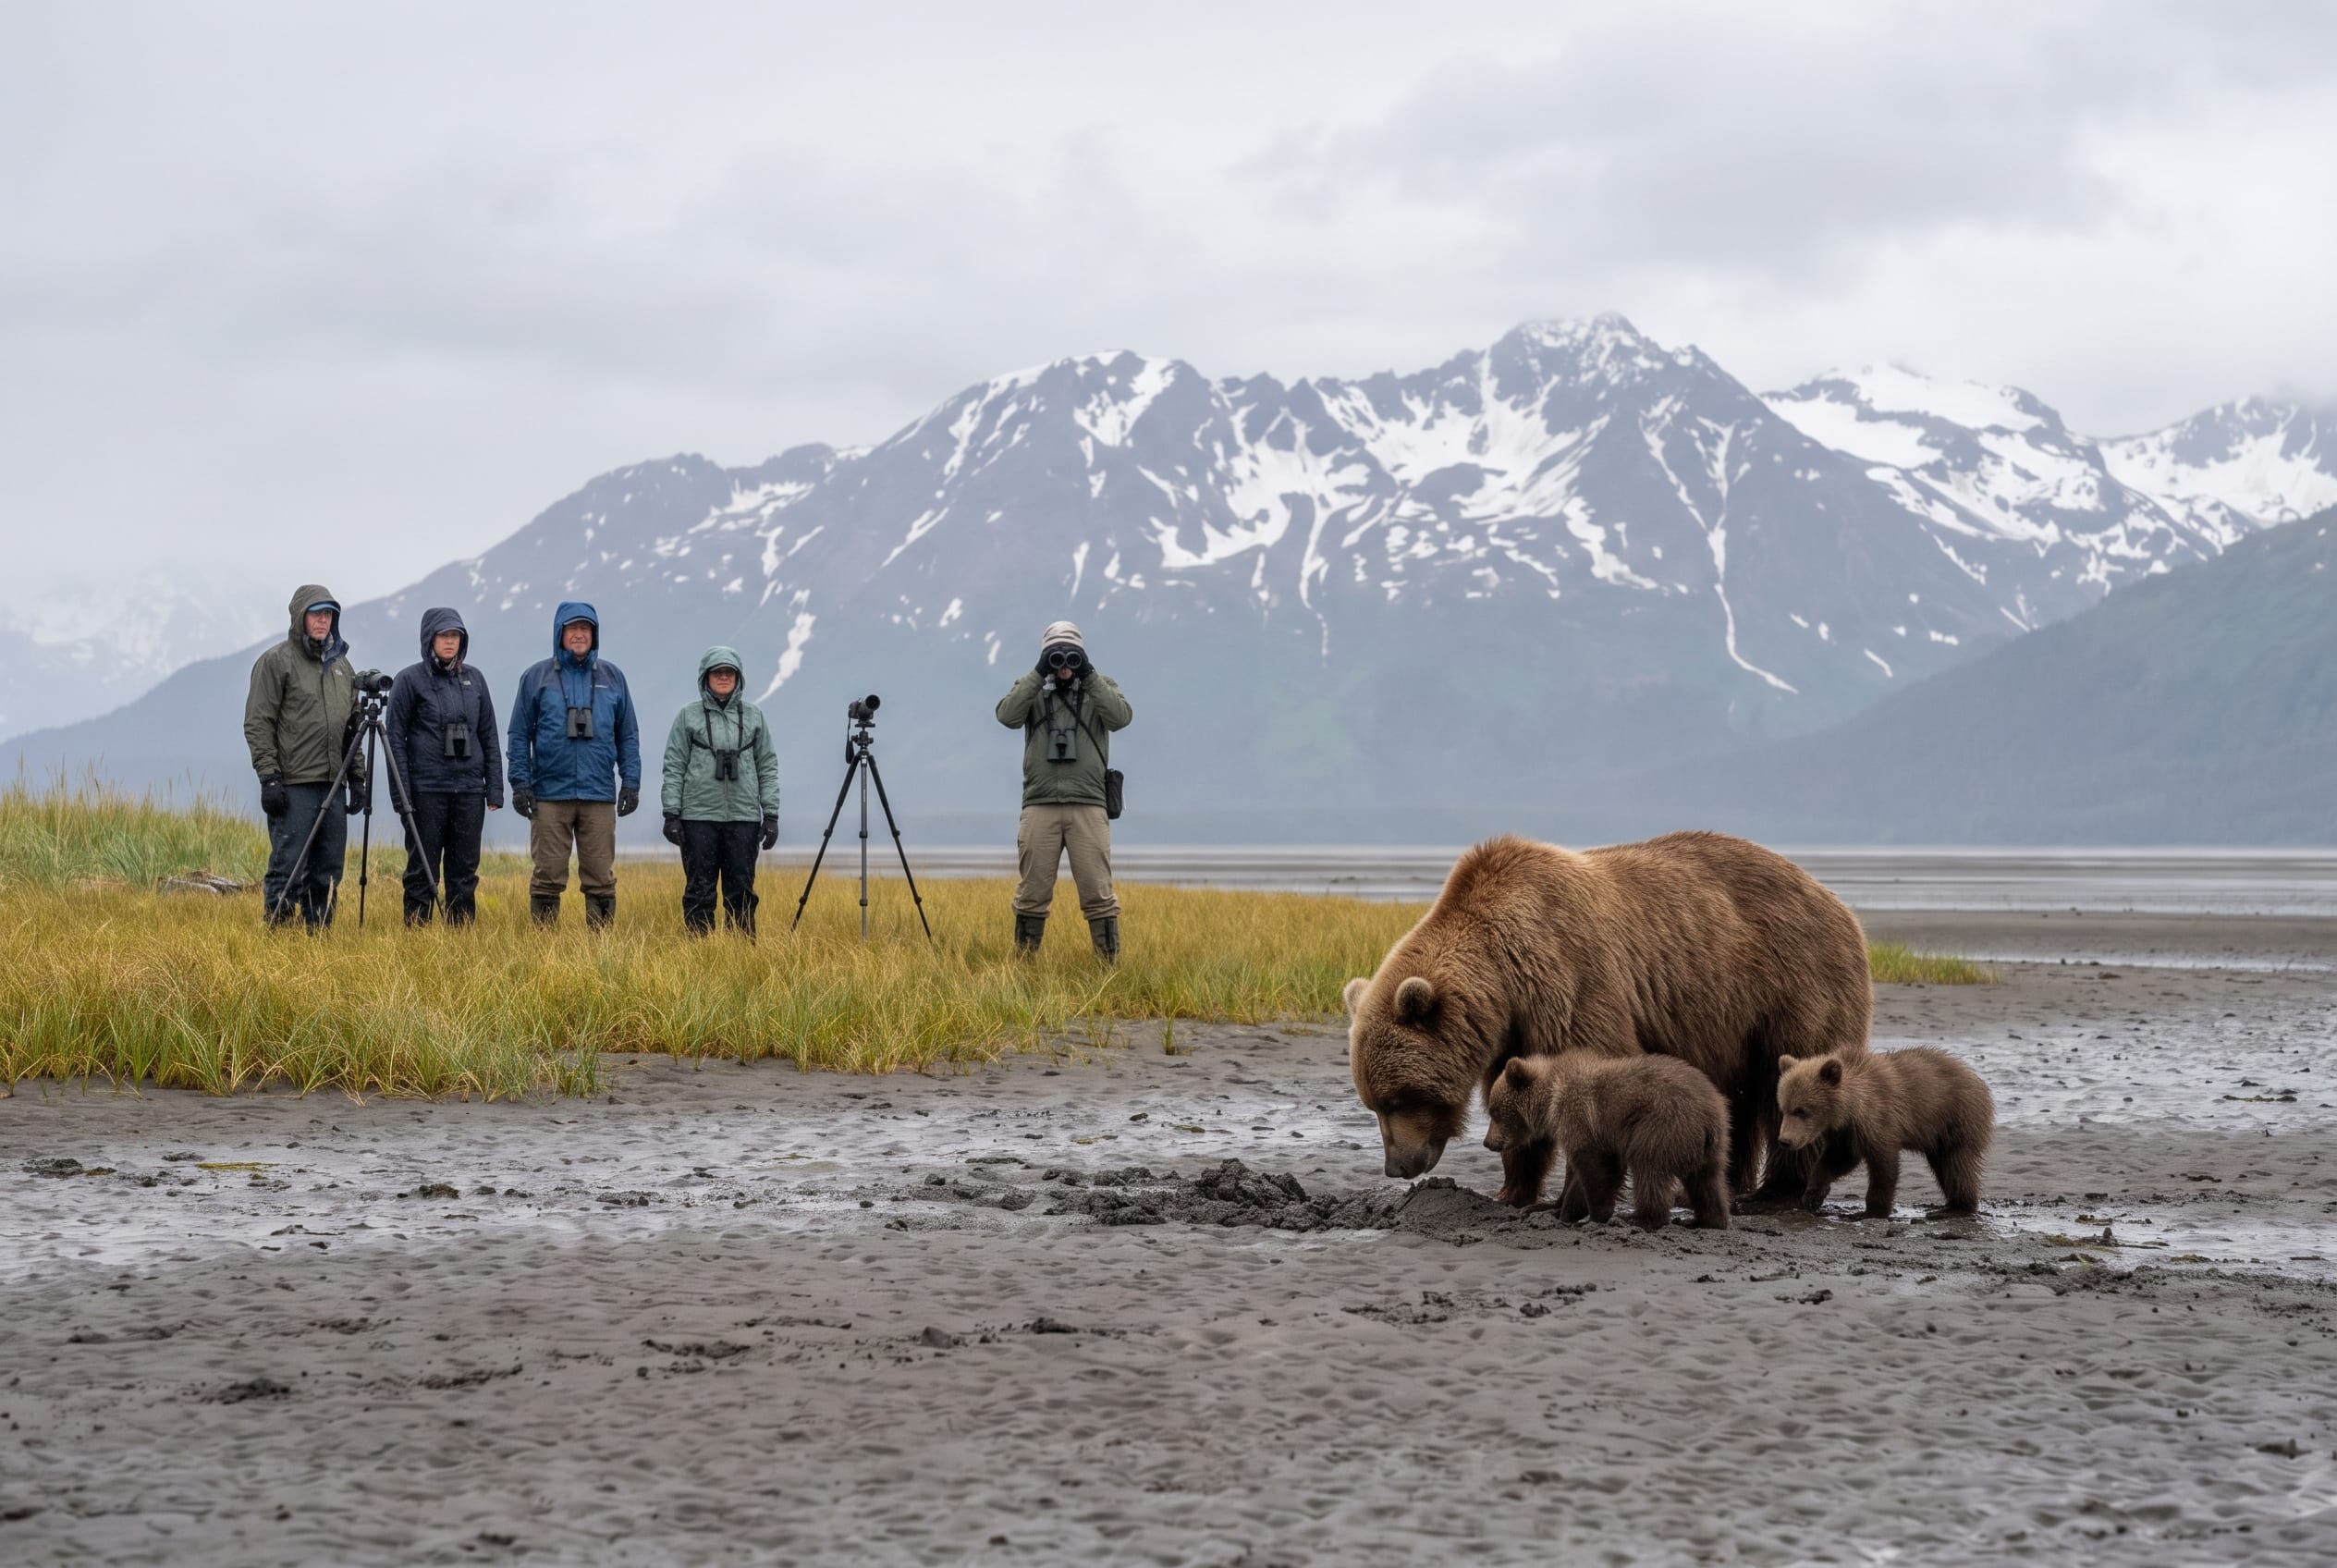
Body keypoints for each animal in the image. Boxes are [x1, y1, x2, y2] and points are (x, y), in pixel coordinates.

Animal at [1344, 831, 1871, 1210]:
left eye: (1398, 1098)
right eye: (1373, 1103)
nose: (1397, 1166)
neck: (1505, 977)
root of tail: (1836, 899)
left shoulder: (1570, 979)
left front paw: (1570, 1195)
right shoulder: (1511, 1031)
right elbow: (1515, 1098)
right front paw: (1509, 1191)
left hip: (1792, 986)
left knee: (1792, 1079)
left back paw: (1775, 1192)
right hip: (1732, 1024)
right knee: (1736, 1098)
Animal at [1484, 1052, 1731, 1230]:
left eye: (1494, 1111)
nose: (1487, 1142)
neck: (1551, 1099)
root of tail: (1708, 1117)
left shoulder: (1582, 1119)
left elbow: (1597, 1169)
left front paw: (1593, 1214)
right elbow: (1586, 1174)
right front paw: (1552, 1210)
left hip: (1661, 1125)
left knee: (1649, 1170)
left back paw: (1640, 1219)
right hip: (1711, 1144)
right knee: (1707, 1181)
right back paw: (1706, 1220)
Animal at [1774, 1048, 1993, 1217]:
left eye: (1801, 1110)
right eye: (1784, 1108)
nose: (1784, 1140)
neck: (1850, 1109)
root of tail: (1976, 1079)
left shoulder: (1880, 1120)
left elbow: (1884, 1166)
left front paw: (1873, 1211)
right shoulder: (1845, 1134)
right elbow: (1836, 1160)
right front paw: (1812, 1196)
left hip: (1956, 1119)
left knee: (1957, 1164)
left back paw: (1957, 1207)